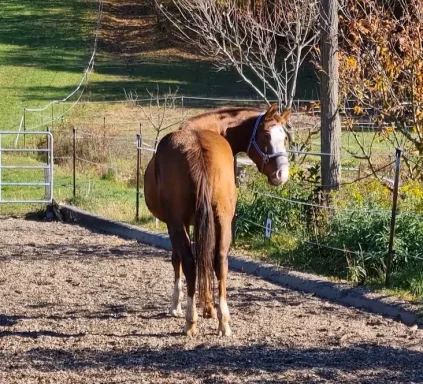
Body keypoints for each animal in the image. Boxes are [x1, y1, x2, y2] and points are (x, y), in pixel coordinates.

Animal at [145, 104, 292, 336]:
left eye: (284, 137)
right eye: (267, 135)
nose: (282, 174)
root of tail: (198, 147)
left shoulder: (176, 223)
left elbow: (179, 260)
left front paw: (177, 306)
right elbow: (207, 259)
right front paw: (209, 308)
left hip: (179, 224)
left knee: (189, 262)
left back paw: (190, 320)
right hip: (222, 220)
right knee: (220, 261)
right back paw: (224, 321)